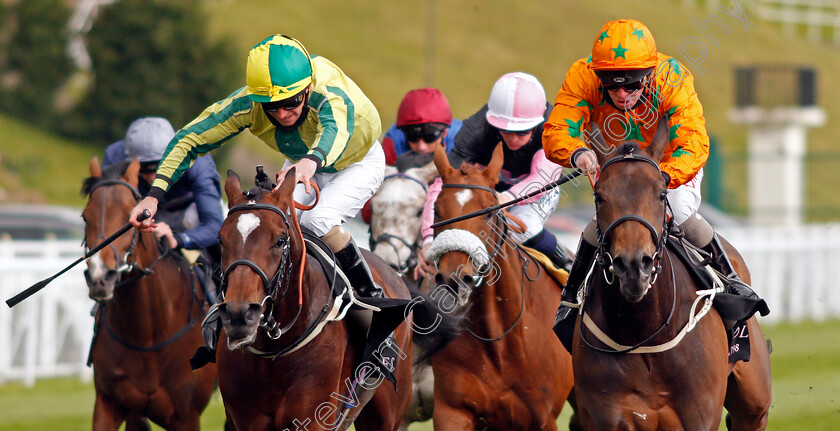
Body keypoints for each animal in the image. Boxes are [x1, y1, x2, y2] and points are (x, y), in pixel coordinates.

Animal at [82, 159, 217, 431]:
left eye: (128, 215)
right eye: (85, 217)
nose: (101, 277)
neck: (146, 335)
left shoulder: (187, 416)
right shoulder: (108, 403)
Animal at [213, 169, 456, 431]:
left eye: (279, 240)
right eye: (221, 239)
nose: (239, 314)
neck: (274, 350)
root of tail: (395, 273)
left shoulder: (312, 419)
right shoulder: (242, 420)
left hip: (386, 412)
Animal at [430, 143, 576, 430]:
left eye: (487, 212)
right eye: (437, 211)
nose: (455, 279)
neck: (499, 339)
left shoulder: (543, 419)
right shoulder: (452, 410)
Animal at [576, 119, 772, 431]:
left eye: (661, 194)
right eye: (599, 196)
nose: (634, 266)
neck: (642, 333)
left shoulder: (699, 416)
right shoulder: (605, 415)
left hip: (754, 400)